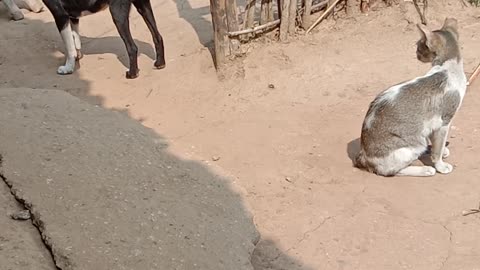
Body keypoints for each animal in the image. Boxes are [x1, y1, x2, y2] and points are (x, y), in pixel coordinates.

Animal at [354, 17, 466, 177]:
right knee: (390, 171)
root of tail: (363, 156)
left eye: (418, 47)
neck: (447, 68)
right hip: (413, 146)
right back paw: (425, 170)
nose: (416, 54)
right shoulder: (444, 121)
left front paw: (442, 150)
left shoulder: (432, 123)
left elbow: (437, 143)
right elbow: (437, 151)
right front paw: (440, 165)